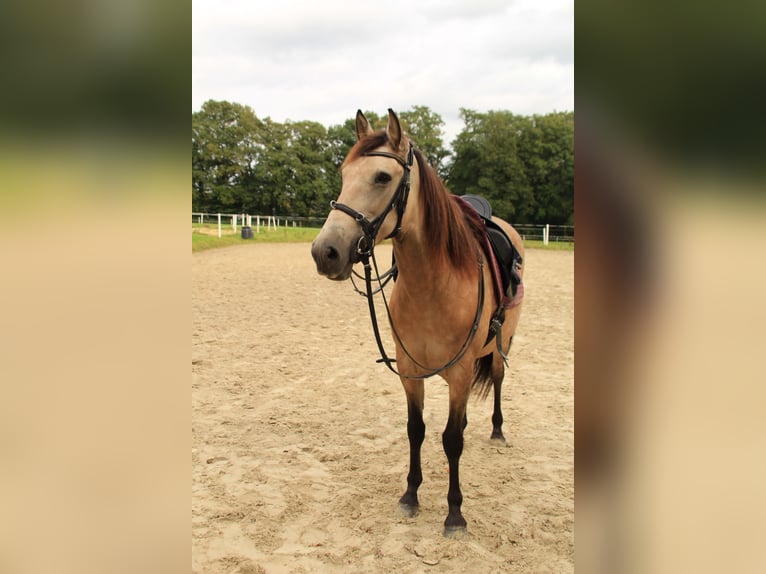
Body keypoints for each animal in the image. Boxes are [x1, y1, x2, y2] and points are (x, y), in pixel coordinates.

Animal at [310, 109, 520, 540]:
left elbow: (452, 440)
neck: (433, 285)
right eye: (343, 174)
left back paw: (497, 430)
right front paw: (410, 495)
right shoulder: (409, 371)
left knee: (498, 379)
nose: (326, 252)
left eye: (382, 177)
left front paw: (455, 514)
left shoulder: (460, 372)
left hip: (501, 344)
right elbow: (416, 430)